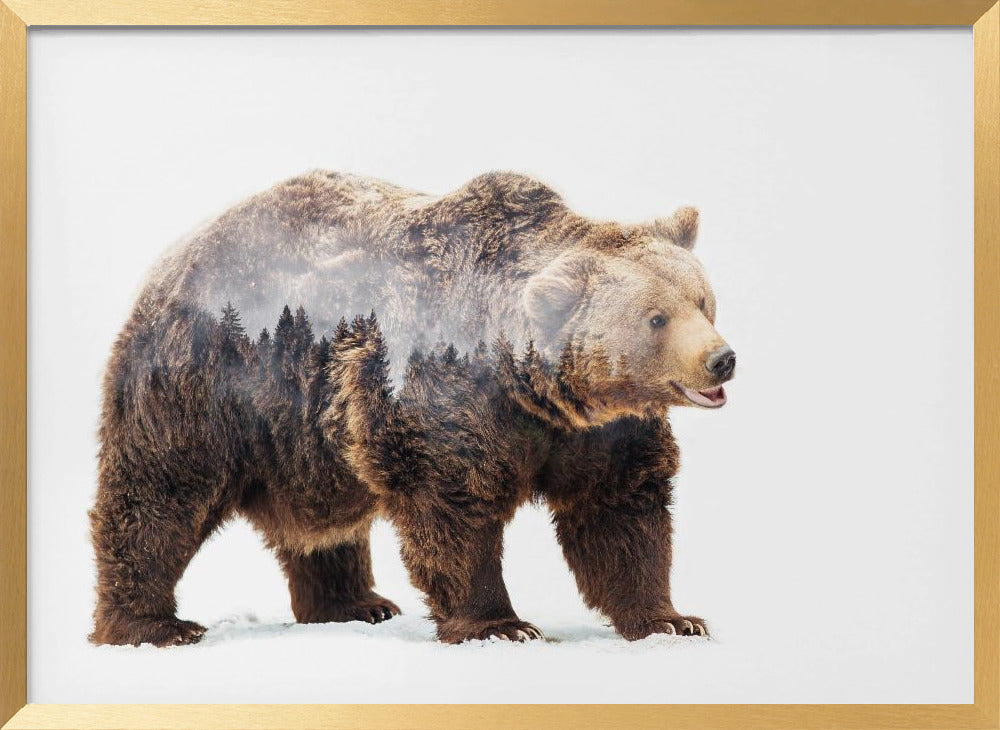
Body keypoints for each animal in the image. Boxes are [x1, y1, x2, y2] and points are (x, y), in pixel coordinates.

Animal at [89, 170, 735, 646]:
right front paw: (502, 625)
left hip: (305, 437)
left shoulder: (599, 433)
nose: (721, 360)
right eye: (656, 318)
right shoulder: (444, 394)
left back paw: (355, 603)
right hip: (208, 382)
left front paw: (672, 618)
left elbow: (620, 512)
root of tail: (172, 257)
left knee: (323, 526)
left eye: (703, 301)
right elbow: (453, 507)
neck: (533, 389)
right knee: (161, 493)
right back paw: (152, 624)